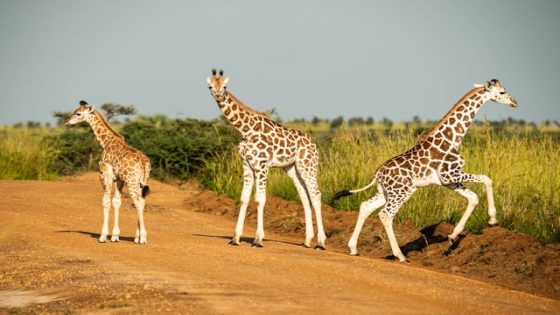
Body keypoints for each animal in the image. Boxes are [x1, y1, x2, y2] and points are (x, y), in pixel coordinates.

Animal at [65, 100, 151, 244]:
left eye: (78, 113)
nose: (66, 121)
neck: (105, 142)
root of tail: (144, 163)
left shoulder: (105, 175)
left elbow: (105, 202)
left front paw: (103, 236)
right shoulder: (119, 179)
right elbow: (116, 202)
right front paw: (115, 236)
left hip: (132, 181)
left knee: (138, 202)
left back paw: (143, 238)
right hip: (141, 181)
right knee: (142, 201)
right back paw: (136, 237)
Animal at [207, 70, 328, 251]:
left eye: (225, 87)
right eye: (210, 87)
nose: (218, 95)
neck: (246, 130)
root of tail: (315, 145)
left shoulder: (262, 165)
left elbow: (260, 199)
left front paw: (258, 239)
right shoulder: (247, 165)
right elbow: (243, 198)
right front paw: (235, 238)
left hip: (308, 166)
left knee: (316, 195)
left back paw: (320, 242)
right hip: (292, 168)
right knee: (305, 197)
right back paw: (307, 240)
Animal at [332, 80, 516, 262]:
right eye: (502, 92)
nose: (514, 102)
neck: (452, 138)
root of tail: (378, 173)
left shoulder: (448, 181)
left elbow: (473, 197)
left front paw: (453, 235)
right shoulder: (451, 175)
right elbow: (487, 178)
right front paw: (493, 219)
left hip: (385, 192)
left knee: (365, 206)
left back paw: (353, 248)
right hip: (403, 191)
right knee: (385, 215)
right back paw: (400, 255)